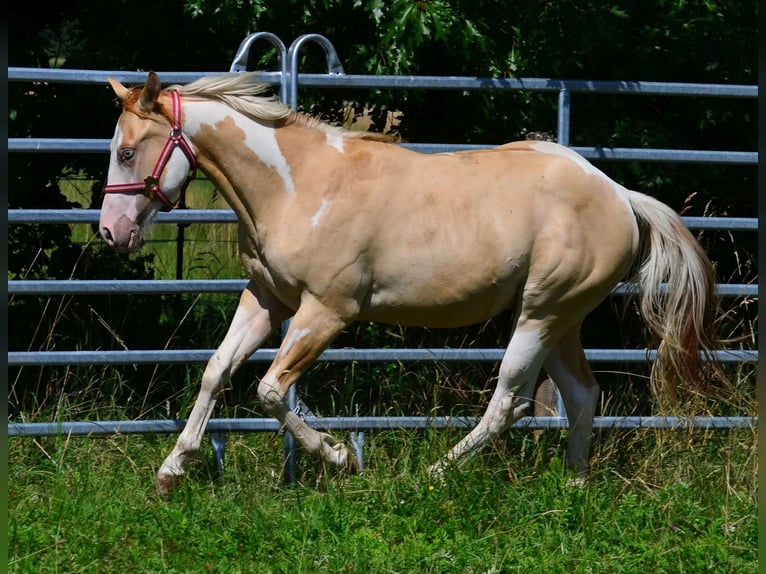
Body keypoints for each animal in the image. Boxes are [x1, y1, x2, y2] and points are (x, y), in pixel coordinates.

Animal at [99, 71, 719, 493]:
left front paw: (340, 458)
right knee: (584, 396)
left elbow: (270, 390)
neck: (298, 186)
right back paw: (573, 488)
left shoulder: (326, 311)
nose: (110, 232)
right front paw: (171, 470)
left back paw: (432, 475)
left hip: (540, 313)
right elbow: (216, 371)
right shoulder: (268, 299)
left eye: (127, 151)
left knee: (509, 402)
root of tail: (620, 196)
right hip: (563, 319)